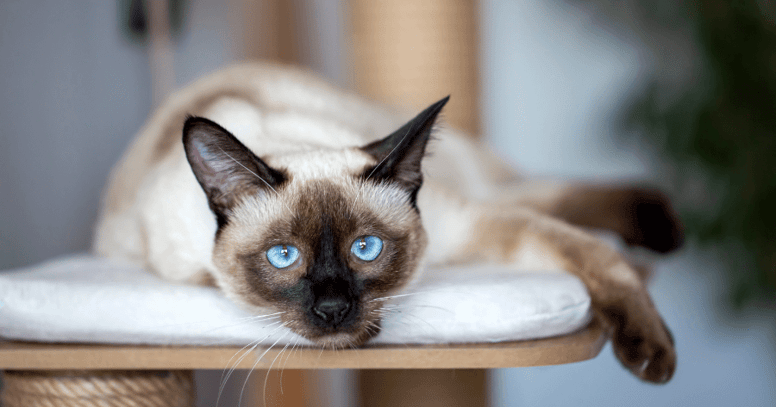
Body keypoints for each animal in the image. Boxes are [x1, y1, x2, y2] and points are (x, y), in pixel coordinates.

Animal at [94, 62, 684, 384]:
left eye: (367, 249)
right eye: (283, 257)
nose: (333, 309)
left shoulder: (471, 224)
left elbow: (598, 257)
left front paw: (653, 357)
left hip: (479, 188)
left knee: (553, 194)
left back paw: (662, 233)